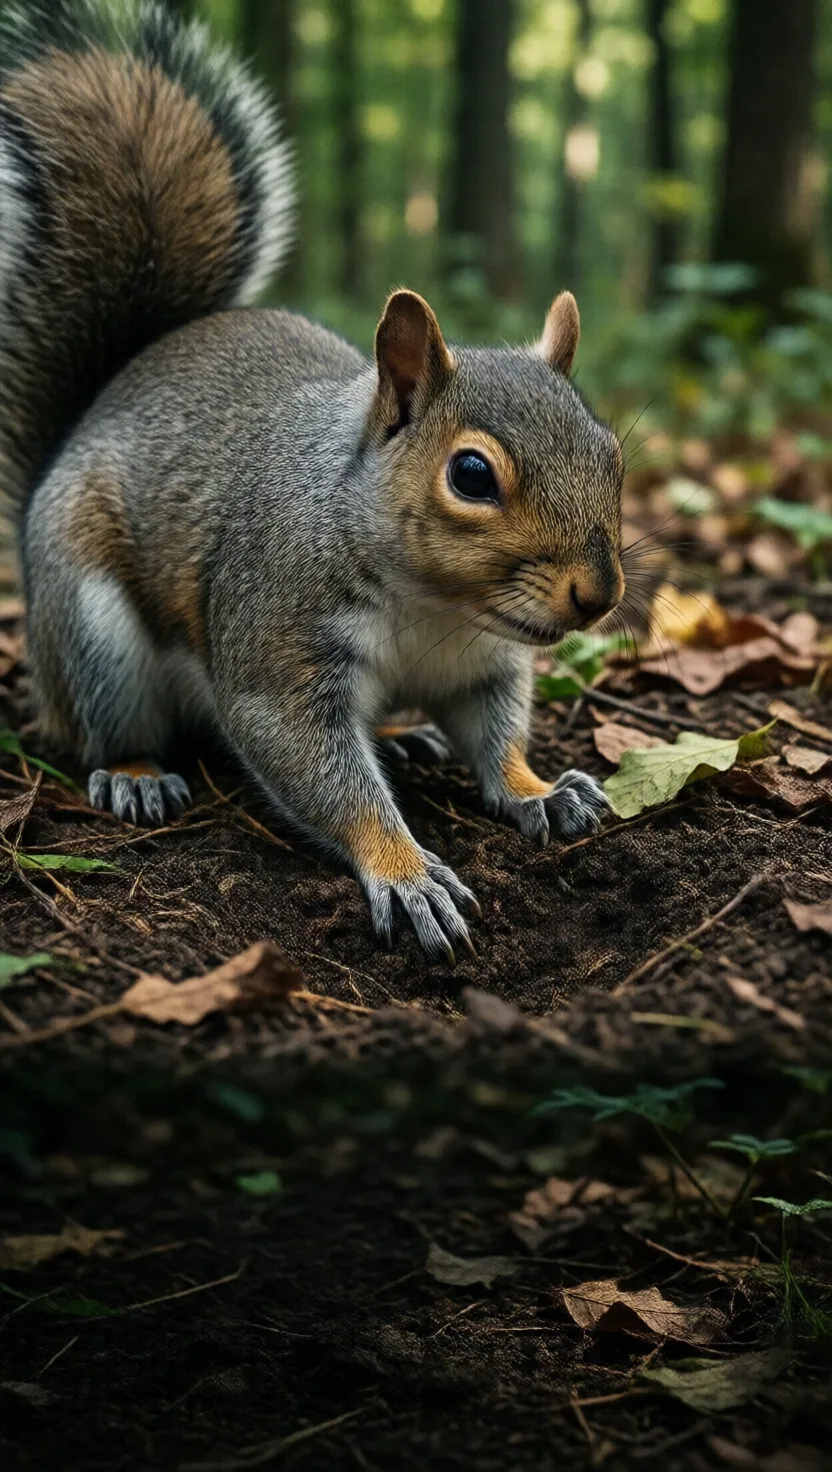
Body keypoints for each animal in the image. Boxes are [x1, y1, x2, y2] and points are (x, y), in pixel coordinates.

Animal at [0, 0, 625, 961]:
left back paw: (403, 740)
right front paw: (405, 872)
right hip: (90, 629)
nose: (600, 594)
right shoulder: (278, 642)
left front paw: (539, 788)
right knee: (101, 725)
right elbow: (311, 764)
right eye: (471, 474)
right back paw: (136, 773)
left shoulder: (482, 665)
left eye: (612, 453)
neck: (434, 609)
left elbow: (497, 735)